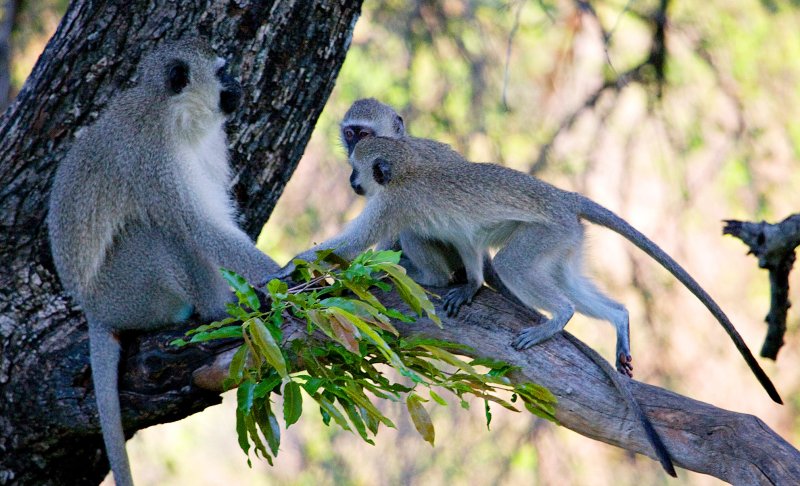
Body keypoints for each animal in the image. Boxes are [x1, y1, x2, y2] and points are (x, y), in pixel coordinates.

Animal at [282, 134, 780, 406]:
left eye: (357, 170)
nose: (352, 182)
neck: (406, 169)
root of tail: (563, 197)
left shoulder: (391, 204)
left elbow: (353, 245)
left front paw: (289, 270)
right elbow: (464, 241)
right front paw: (469, 285)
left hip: (545, 234)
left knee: (515, 268)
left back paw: (554, 320)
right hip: (565, 242)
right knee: (570, 283)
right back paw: (618, 320)